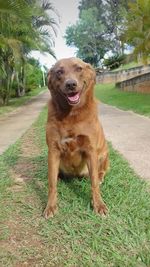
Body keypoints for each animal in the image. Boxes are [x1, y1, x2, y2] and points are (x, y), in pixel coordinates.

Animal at [43, 57, 109, 219]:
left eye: (79, 68)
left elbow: (94, 183)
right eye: (59, 72)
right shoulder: (53, 151)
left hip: (104, 153)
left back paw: (100, 177)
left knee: (101, 171)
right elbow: (51, 184)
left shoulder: (91, 150)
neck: (71, 114)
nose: (71, 84)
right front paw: (50, 206)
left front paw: (98, 204)